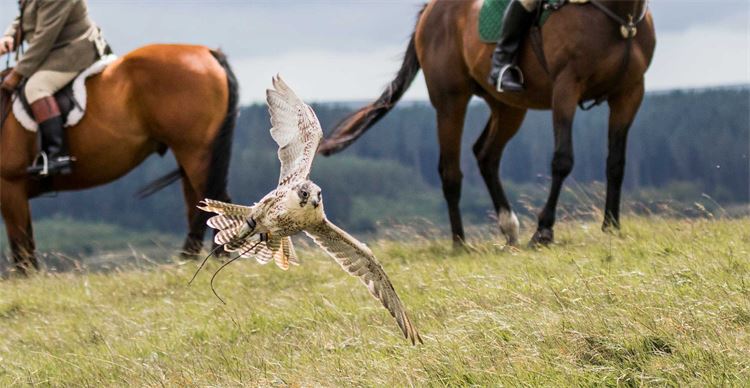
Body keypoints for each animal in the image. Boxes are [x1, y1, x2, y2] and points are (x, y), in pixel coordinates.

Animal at [0, 44, 238, 272]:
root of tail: (208, 52)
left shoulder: (10, 187)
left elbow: (21, 247)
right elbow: (25, 244)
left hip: (196, 152)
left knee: (217, 201)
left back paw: (217, 260)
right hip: (189, 156)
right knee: (198, 207)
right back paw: (186, 262)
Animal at [320, 0, 656, 247]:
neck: (619, 15)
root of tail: (431, 9)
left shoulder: (630, 94)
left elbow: (616, 162)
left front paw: (611, 224)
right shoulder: (566, 88)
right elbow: (562, 160)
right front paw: (544, 231)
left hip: (507, 107)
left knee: (486, 154)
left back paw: (509, 228)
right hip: (450, 101)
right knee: (450, 170)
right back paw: (460, 242)